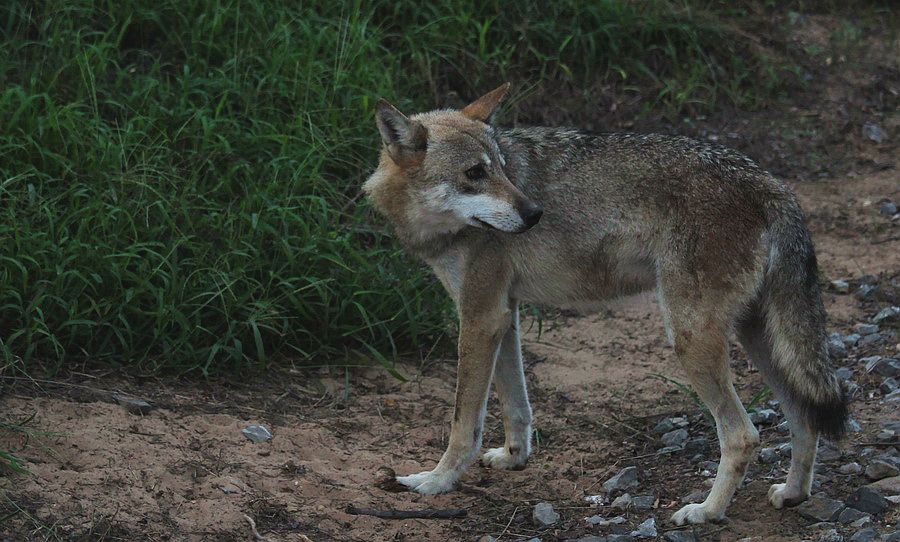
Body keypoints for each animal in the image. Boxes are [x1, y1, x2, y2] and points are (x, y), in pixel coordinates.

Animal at [362, 84, 848, 528]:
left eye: (499, 168)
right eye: (475, 173)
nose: (535, 213)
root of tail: (772, 185)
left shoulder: (479, 318)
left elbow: (465, 422)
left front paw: (435, 481)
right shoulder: (503, 315)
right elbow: (516, 404)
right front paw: (515, 458)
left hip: (691, 339)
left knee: (744, 434)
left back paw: (707, 511)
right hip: (757, 337)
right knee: (804, 416)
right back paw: (792, 494)